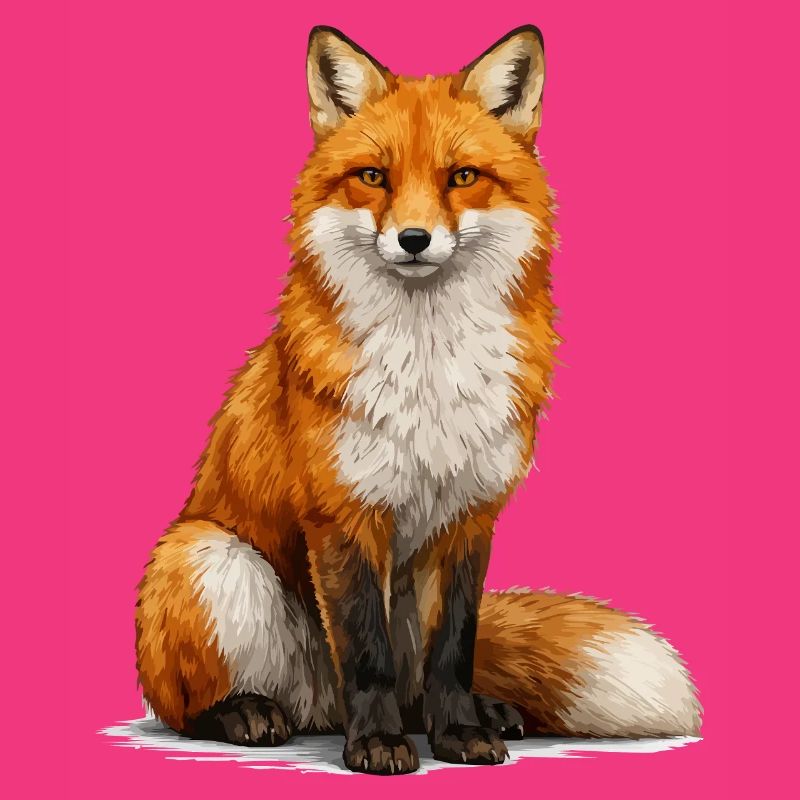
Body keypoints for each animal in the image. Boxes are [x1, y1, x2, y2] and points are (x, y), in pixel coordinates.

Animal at [135, 25, 701, 775]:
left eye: (461, 177)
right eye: (374, 177)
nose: (412, 239)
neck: (430, 368)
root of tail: (317, 707)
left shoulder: (468, 516)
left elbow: (453, 651)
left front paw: (459, 731)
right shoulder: (344, 514)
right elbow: (365, 652)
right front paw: (376, 745)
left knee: (419, 685)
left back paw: (470, 713)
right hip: (209, 558)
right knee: (191, 705)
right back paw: (247, 713)